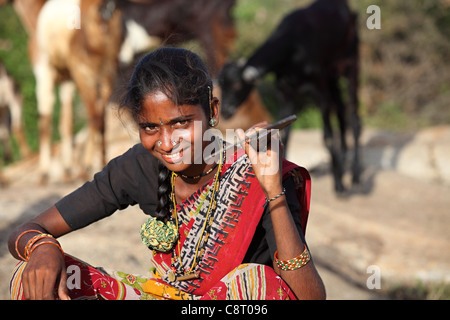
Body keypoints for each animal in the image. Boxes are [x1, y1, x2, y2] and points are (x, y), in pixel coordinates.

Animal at [219, 0, 362, 192]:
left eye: (237, 85)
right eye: (221, 85)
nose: (225, 111)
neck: (293, 48)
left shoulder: (320, 92)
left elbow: (327, 136)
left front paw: (339, 184)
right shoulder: (286, 95)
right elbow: (285, 135)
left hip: (351, 62)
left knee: (353, 117)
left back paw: (355, 176)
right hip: (331, 76)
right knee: (341, 110)